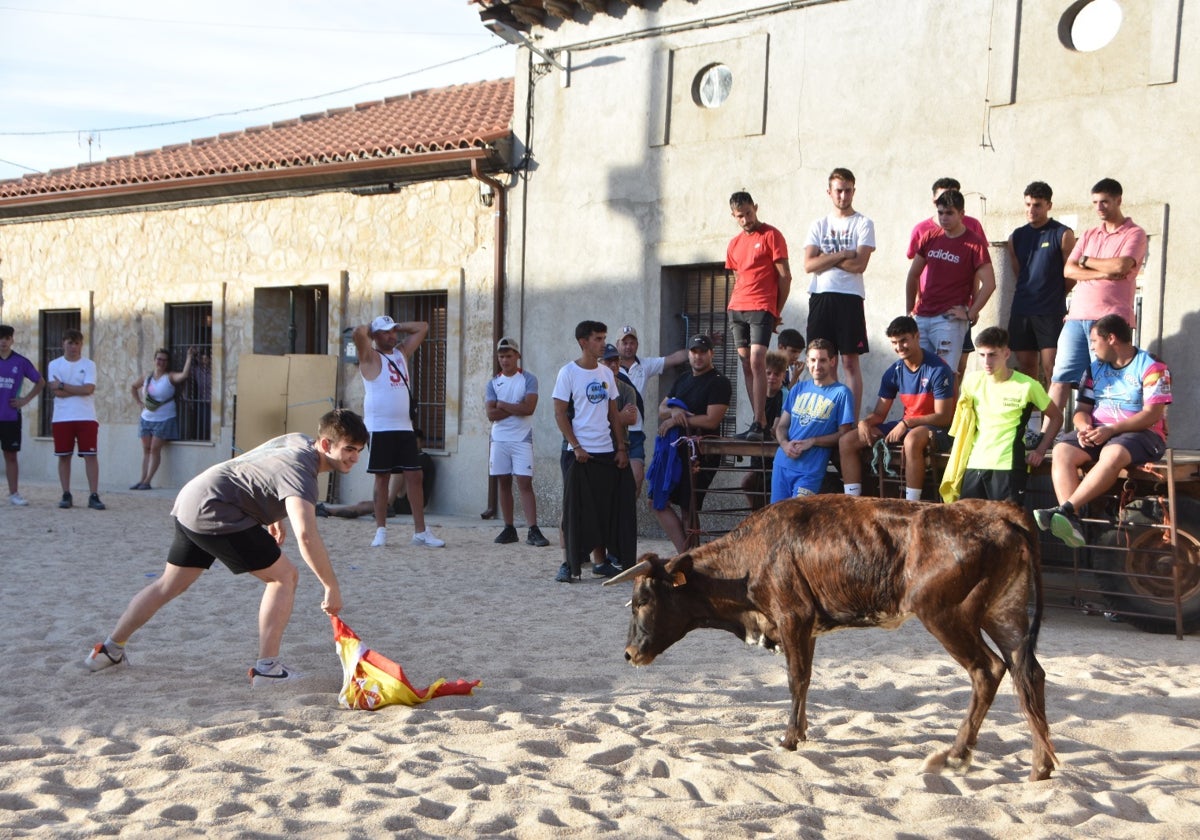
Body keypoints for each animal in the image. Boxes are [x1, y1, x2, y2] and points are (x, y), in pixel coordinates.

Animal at [609, 499, 1060, 782]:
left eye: (643, 600)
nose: (629, 653)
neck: (751, 558)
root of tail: (999, 515)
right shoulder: (804, 628)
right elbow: (805, 680)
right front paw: (802, 732)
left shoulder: (793, 618)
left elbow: (796, 679)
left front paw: (789, 738)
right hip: (1004, 613)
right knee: (1028, 674)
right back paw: (1040, 765)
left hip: (946, 615)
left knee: (988, 670)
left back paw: (955, 755)